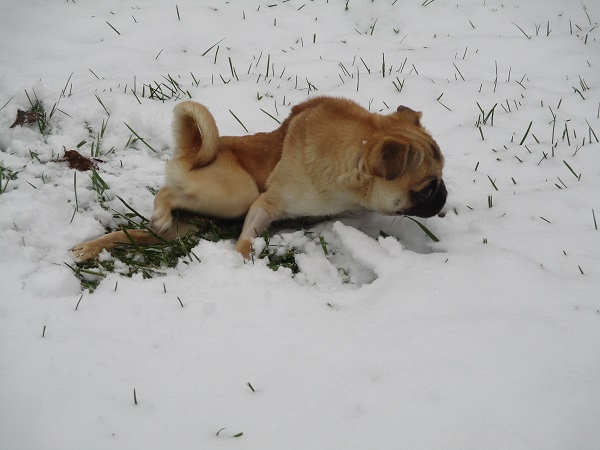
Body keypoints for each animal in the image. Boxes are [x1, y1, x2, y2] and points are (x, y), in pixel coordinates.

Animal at [70, 96, 446, 262]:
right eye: (426, 189)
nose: (444, 194)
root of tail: (193, 150)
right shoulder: (264, 204)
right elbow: (247, 238)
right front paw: (241, 258)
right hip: (238, 194)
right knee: (166, 192)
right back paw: (159, 210)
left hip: (183, 230)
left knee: (130, 233)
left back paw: (91, 246)